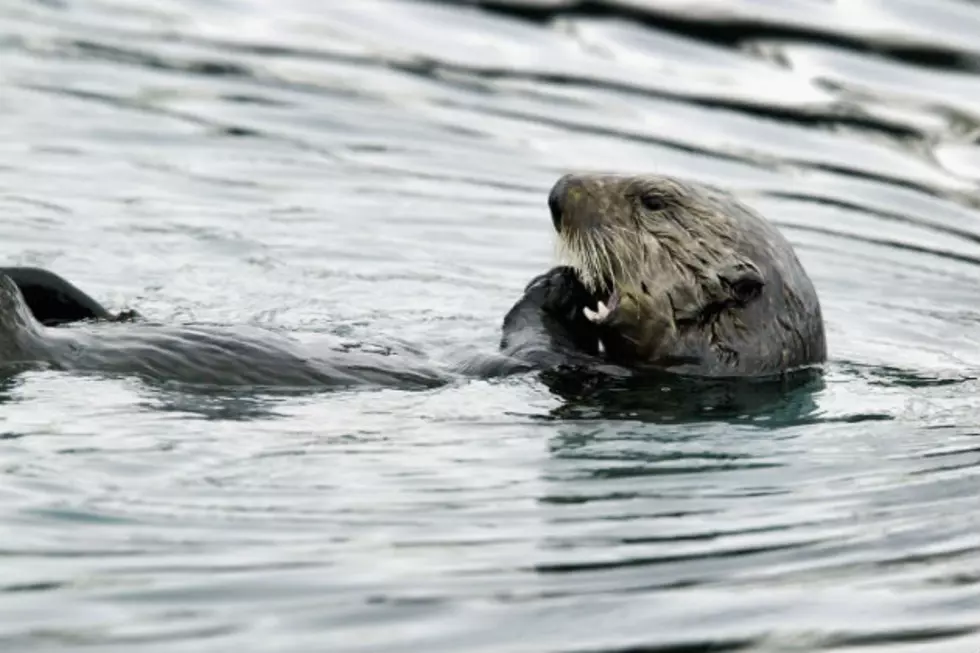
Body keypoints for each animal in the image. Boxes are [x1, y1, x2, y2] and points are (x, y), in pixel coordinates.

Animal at [0, 171, 828, 390]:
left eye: (654, 201)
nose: (559, 190)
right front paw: (565, 280)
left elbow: (539, 336)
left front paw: (566, 289)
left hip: (29, 339)